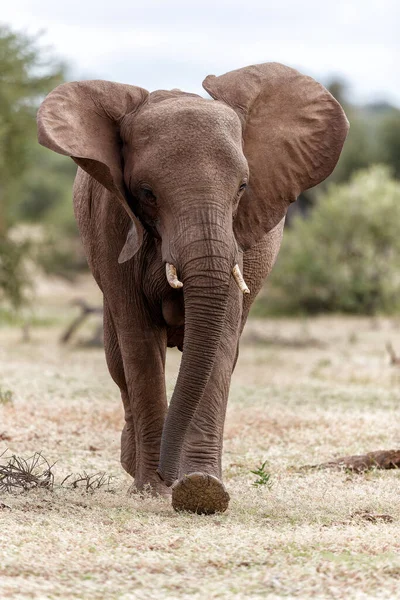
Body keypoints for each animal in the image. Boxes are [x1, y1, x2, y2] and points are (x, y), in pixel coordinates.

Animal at [38, 62, 350, 516]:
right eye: (146, 193)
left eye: (242, 188)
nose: (168, 476)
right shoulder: (111, 222)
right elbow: (139, 347)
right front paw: (154, 489)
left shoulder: (240, 246)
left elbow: (219, 344)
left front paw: (202, 488)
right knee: (118, 361)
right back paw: (132, 466)